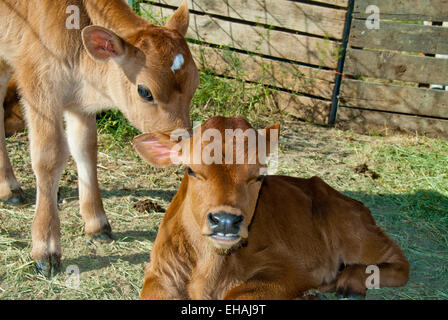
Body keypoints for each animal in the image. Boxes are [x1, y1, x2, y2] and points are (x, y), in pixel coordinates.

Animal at [0, 0, 198, 276]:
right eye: (145, 92)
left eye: (195, 85)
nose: (181, 144)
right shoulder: (39, 86)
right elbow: (48, 157)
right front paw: (45, 249)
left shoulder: (79, 102)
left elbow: (85, 149)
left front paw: (97, 224)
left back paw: (8, 187)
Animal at [134, 117, 410, 300]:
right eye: (191, 170)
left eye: (259, 175)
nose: (225, 221)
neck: (210, 269)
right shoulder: (159, 274)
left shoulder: (290, 269)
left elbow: (240, 293)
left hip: (355, 234)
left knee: (400, 263)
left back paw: (351, 281)